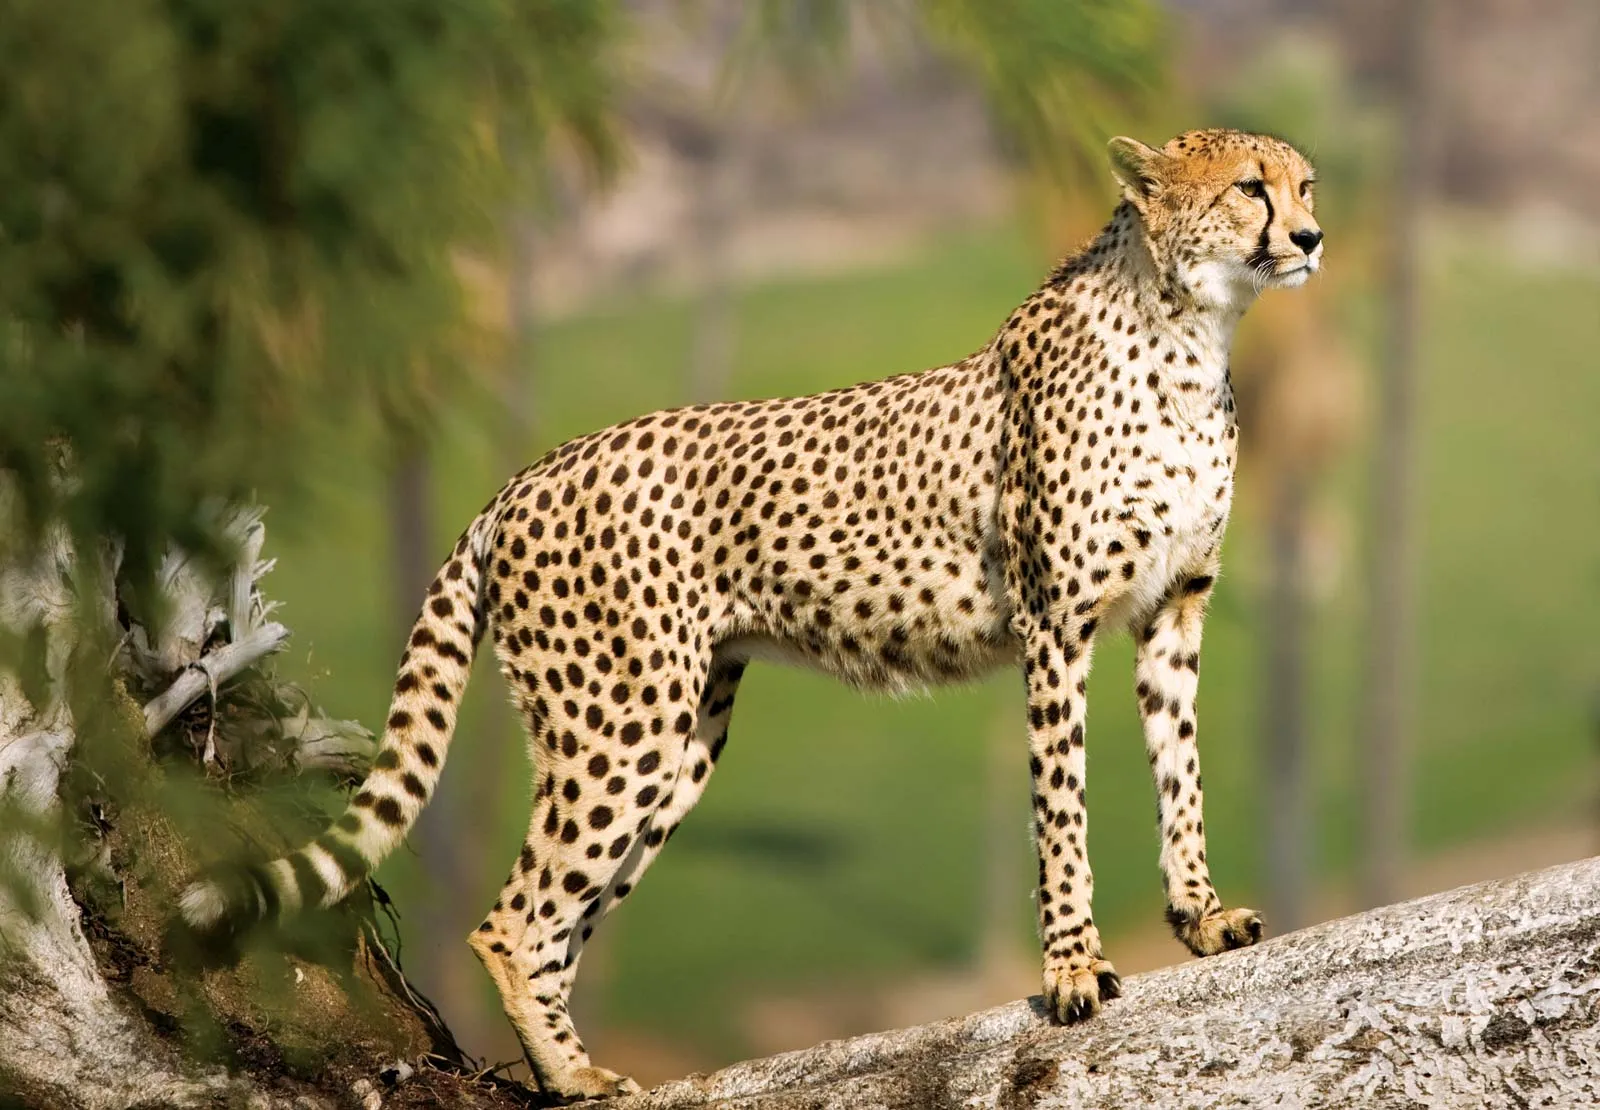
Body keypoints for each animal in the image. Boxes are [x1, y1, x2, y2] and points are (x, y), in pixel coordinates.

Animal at [180, 128, 1322, 1104]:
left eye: (1303, 183)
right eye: (1247, 188)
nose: (1311, 237)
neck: (1188, 331)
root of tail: (525, 476)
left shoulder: (1172, 613)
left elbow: (1180, 774)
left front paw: (1200, 918)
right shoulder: (1056, 625)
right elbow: (1063, 810)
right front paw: (1075, 969)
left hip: (678, 742)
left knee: (559, 922)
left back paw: (570, 1070)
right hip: (619, 728)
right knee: (510, 922)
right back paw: (572, 1074)